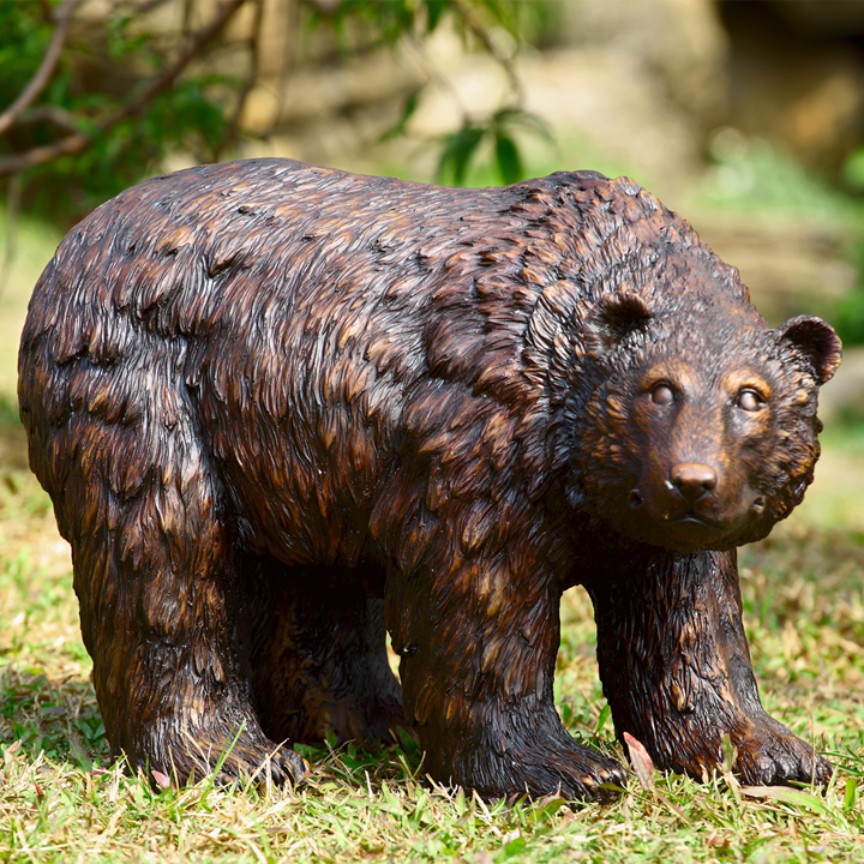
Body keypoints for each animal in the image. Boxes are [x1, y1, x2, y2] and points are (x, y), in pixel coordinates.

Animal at [18, 159, 841, 800]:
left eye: (752, 396)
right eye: (659, 388)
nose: (693, 480)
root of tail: (73, 239)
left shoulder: (654, 525)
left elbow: (687, 626)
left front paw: (773, 751)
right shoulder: (480, 446)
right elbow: (483, 611)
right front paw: (561, 767)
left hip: (299, 431)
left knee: (314, 577)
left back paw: (364, 721)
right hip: (145, 388)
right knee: (165, 556)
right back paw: (236, 756)